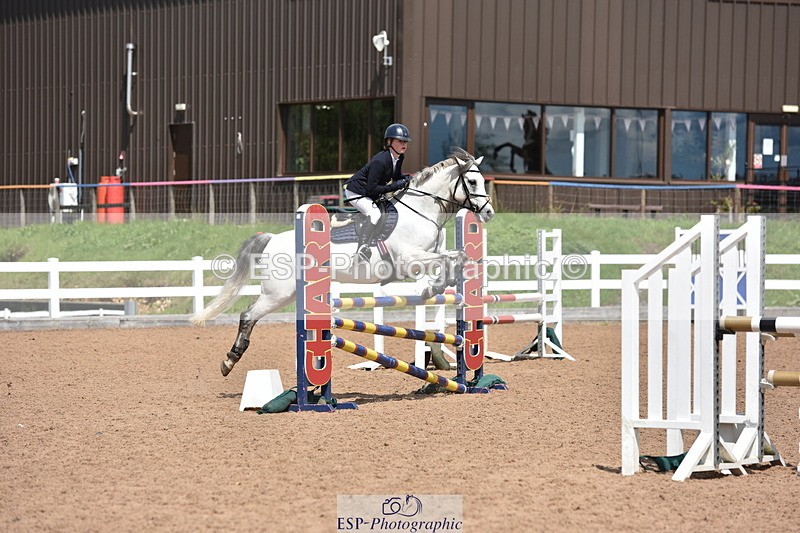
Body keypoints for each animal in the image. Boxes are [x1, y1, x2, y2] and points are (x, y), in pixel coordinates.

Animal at [191, 148, 495, 376]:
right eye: (472, 182)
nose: (489, 212)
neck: (421, 212)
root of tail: (272, 238)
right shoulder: (409, 261)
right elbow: (448, 259)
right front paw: (433, 287)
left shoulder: (427, 255)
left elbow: (456, 257)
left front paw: (440, 285)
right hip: (277, 293)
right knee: (248, 315)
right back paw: (230, 360)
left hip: (290, 293)